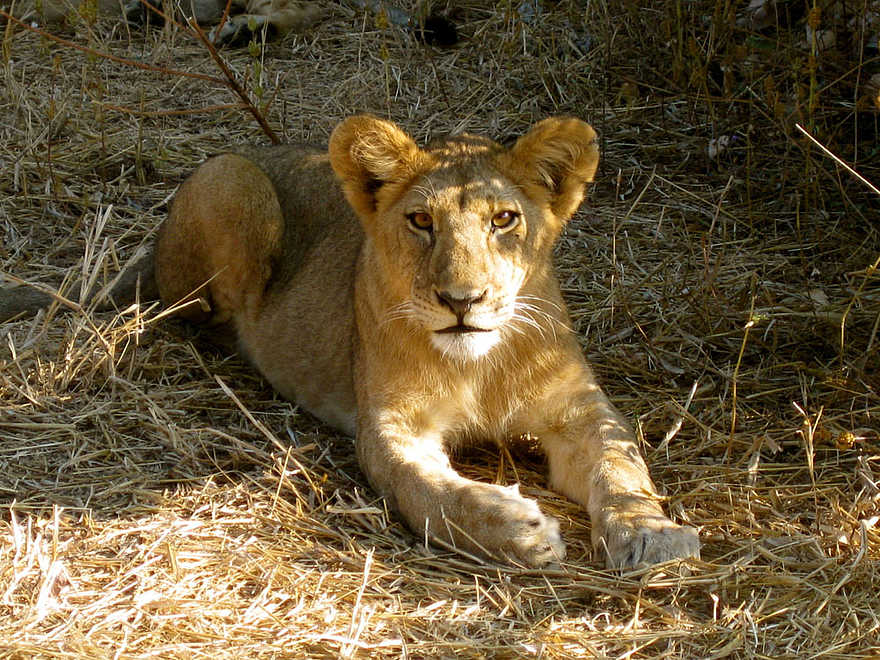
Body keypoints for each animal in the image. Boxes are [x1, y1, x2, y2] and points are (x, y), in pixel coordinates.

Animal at [149, 115, 701, 569]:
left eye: (503, 219)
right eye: (421, 221)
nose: (462, 300)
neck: (480, 367)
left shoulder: (579, 408)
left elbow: (621, 463)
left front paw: (652, 534)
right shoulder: (393, 426)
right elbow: (430, 492)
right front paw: (518, 531)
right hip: (234, 179)